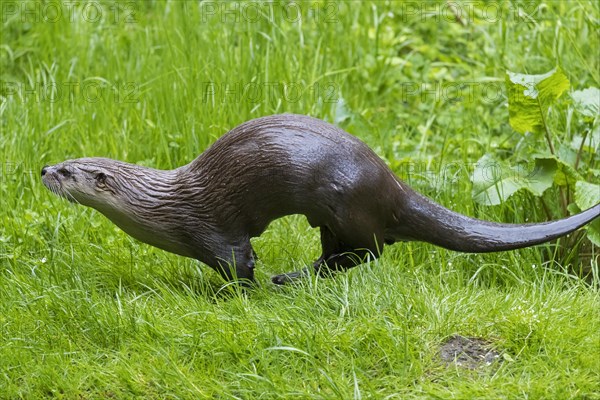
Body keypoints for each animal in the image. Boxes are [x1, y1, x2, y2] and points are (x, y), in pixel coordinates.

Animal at [39, 114, 596, 286]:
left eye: (69, 172)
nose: (43, 169)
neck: (166, 207)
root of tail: (392, 186)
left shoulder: (214, 230)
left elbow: (239, 264)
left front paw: (237, 293)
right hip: (333, 217)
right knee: (349, 254)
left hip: (344, 204)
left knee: (367, 251)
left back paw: (289, 279)